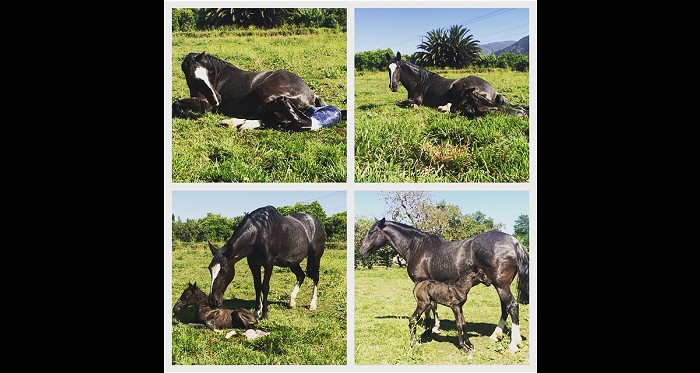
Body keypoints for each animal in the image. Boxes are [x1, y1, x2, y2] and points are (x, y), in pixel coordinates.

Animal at [358, 217, 528, 350]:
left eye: (372, 232)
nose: (361, 252)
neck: (417, 247)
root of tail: (514, 242)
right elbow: (434, 305)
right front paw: (435, 327)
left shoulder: (421, 282)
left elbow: (429, 308)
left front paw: (429, 329)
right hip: (500, 285)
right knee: (505, 307)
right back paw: (495, 335)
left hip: (501, 285)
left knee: (512, 305)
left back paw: (514, 343)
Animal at [386, 50, 528, 117]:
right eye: (388, 68)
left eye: (398, 68)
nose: (393, 87)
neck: (419, 81)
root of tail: (494, 91)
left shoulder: (417, 100)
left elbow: (400, 103)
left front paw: (413, 106)